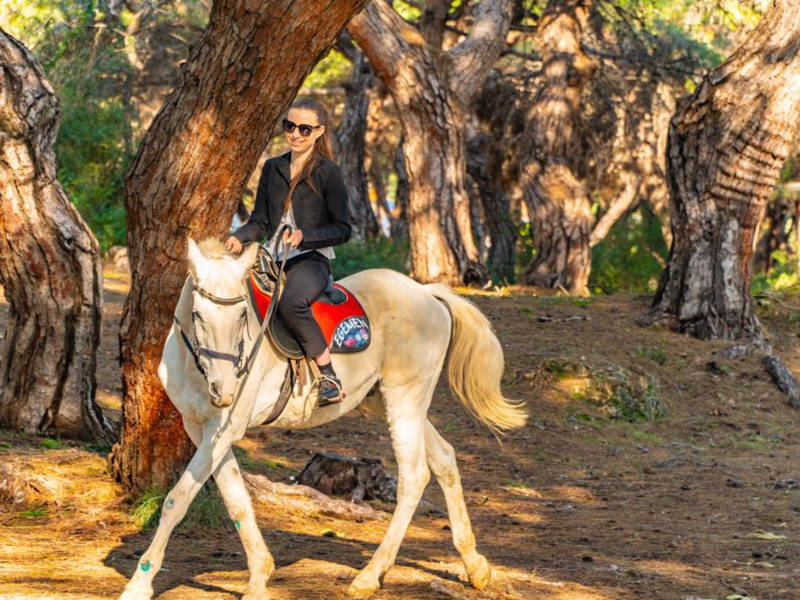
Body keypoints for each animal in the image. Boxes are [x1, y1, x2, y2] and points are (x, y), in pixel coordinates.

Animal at [119, 238, 527, 600]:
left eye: (242, 316)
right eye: (198, 316)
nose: (225, 390)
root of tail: (426, 293)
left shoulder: (224, 428)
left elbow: (178, 499)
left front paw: (139, 585)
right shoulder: (202, 429)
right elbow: (236, 499)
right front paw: (259, 577)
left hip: (405, 398)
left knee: (414, 476)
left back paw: (370, 576)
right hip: (389, 400)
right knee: (444, 458)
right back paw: (475, 566)